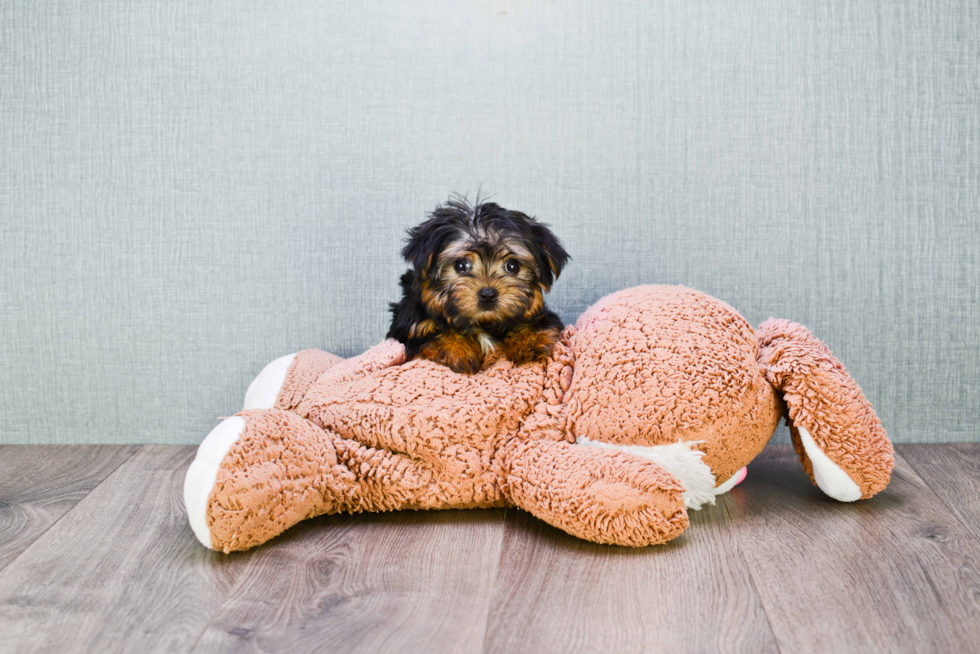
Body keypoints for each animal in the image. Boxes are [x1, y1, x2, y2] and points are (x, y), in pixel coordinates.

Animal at [388, 196, 572, 374]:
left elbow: (534, 322)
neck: (483, 323)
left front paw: (529, 341)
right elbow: (431, 331)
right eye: (461, 265)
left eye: (512, 266)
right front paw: (460, 350)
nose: (488, 294)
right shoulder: (409, 326)